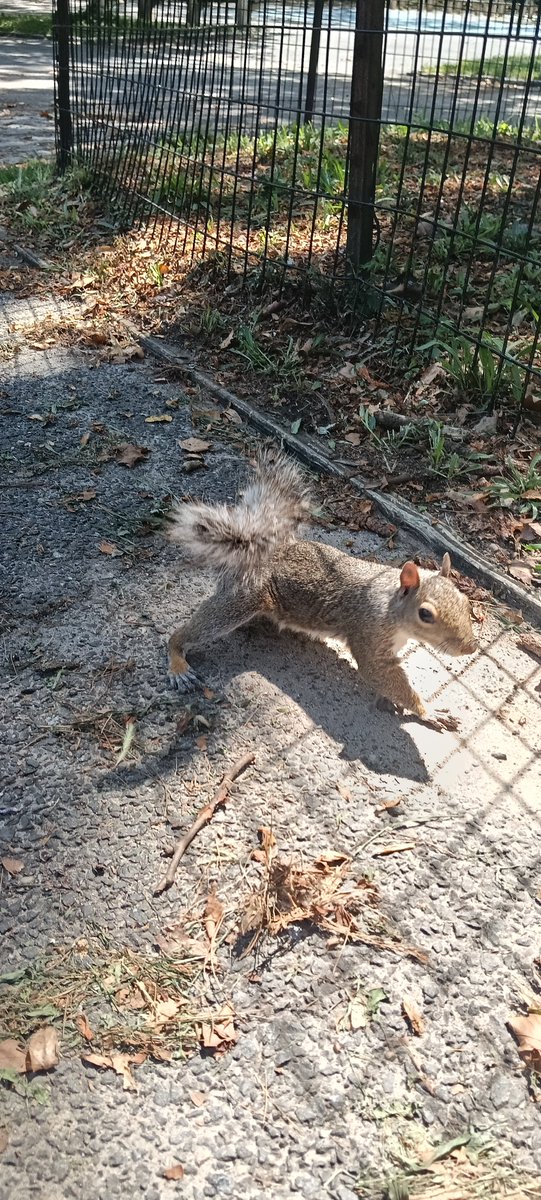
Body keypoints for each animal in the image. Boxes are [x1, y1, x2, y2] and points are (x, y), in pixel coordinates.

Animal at [166, 449, 476, 731]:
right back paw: (178, 661)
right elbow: (381, 675)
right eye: (425, 614)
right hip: (242, 600)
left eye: (465, 601)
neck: (391, 608)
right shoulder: (370, 636)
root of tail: (263, 554)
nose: (470, 648)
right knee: (195, 628)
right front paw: (429, 711)